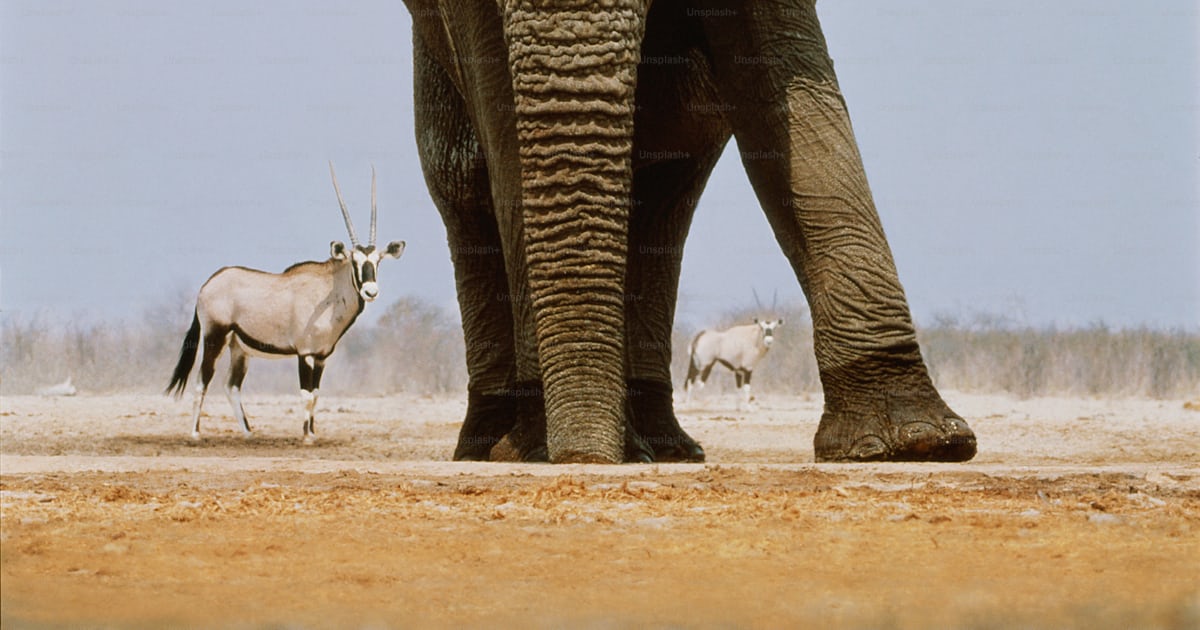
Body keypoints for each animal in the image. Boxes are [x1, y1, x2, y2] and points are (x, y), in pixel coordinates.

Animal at [403, 0, 977, 464]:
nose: (585, 458)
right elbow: (502, 132)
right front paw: (540, 447)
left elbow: (787, 92)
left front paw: (921, 442)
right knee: (464, 189)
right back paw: (491, 447)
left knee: (664, 197)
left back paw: (665, 449)